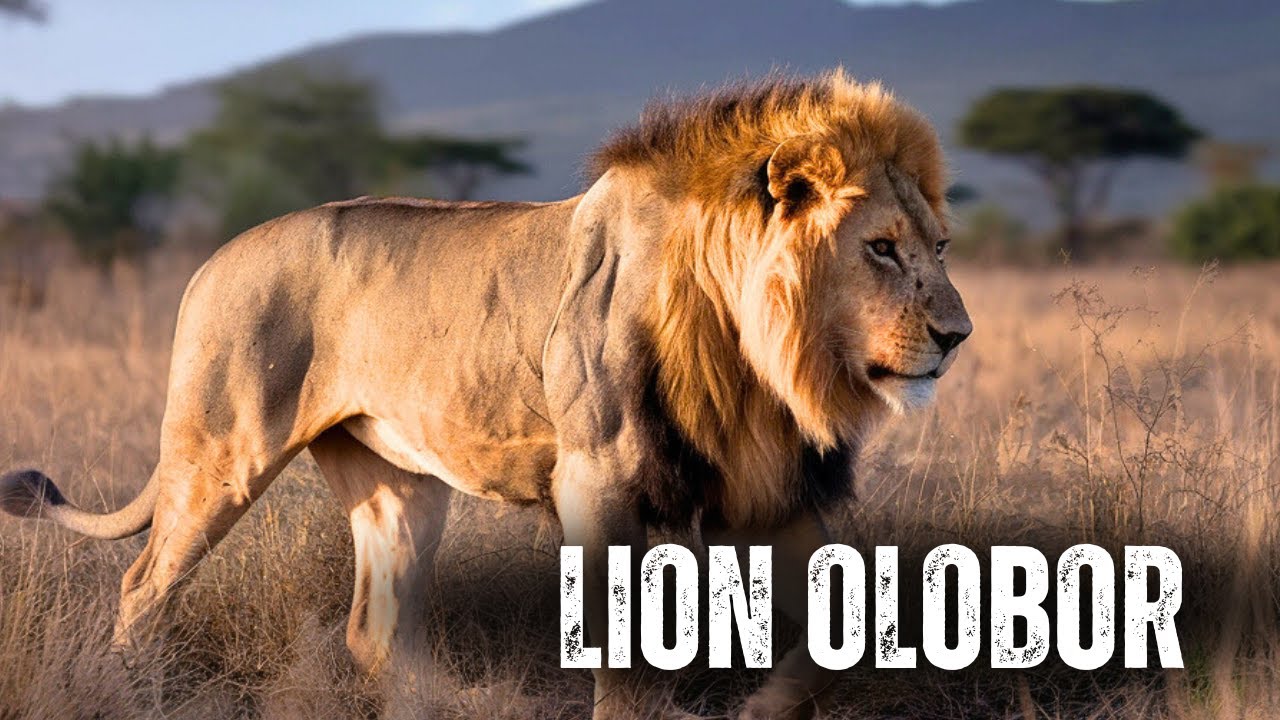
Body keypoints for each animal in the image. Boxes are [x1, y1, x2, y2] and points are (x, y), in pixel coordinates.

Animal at [0, 70, 970, 719]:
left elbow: (835, 636)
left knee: (376, 631)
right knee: (141, 585)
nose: (958, 336)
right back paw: (129, 689)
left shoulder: (767, 490)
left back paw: (459, 701)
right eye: (881, 248)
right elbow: (624, 654)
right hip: (221, 456)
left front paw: (765, 707)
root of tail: (209, 262)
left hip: (398, 486)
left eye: (940, 246)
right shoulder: (598, 476)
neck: (759, 359)